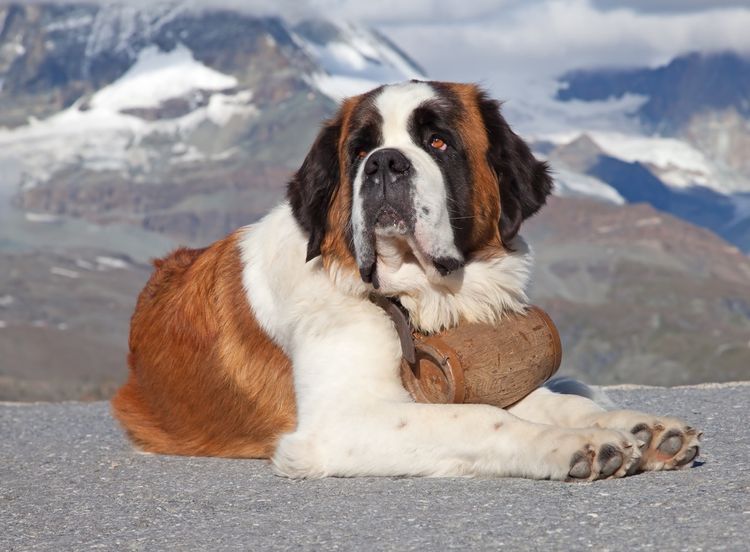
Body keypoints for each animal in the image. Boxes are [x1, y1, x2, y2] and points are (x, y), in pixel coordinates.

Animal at [113, 80, 704, 480]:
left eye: (439, 143)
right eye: (358, 151)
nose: (383, 163)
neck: (406, 296)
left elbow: (543, 398)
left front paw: (638, 428)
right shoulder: (341, 422)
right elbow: (479, 418)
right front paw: (574, 445)